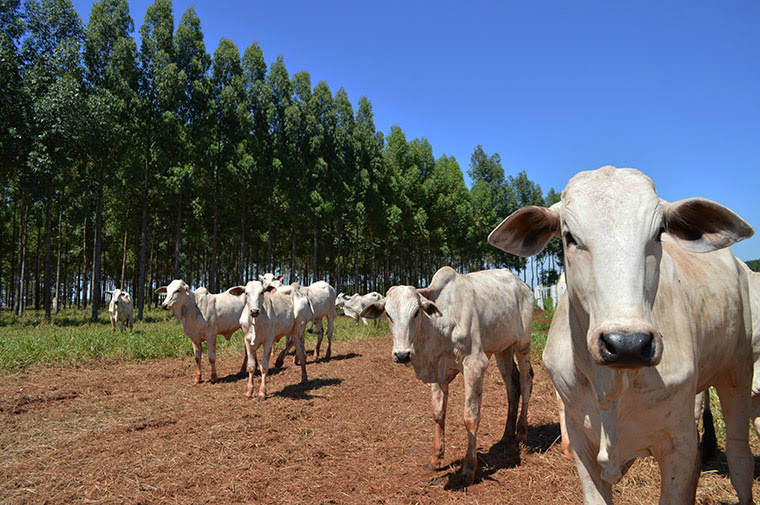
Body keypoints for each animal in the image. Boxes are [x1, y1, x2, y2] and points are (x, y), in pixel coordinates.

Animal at [360, 266, 532, 486]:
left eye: (416, 312)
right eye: (388, 315)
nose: (402, 354)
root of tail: (522, 284)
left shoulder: (475, 365)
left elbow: (471, 417)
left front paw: (468, 469)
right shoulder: (438, 373)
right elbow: (438, 413)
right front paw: (435, 459)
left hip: (523, 344)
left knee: (526, 382)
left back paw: (521, 433)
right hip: (503, 348)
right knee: (512, 386)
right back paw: (506, 435)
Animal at [486, 166, 756, 504]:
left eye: (658, 233)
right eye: (569, 236)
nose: (628, 344)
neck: (610, 386)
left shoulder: (678, 444)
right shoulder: (581, 441)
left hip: (738, 371)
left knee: (739, 457)